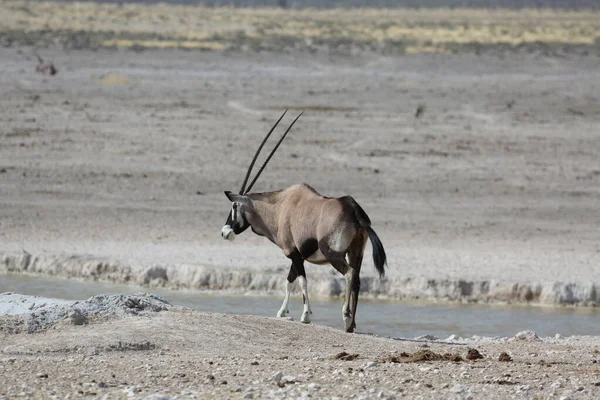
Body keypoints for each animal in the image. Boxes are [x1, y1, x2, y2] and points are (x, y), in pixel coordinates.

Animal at [223, 111, 386, 332]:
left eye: (234, 206)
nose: (224, 232)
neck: (280, 206)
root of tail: (353, 209)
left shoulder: (294, 254)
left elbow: (301, 281)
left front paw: (306, 316)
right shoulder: (296, 255)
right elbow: (289, 281)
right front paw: (282, 313)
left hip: (333, 253)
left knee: (349, 274)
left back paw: (345, 317)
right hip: (356, 252)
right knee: (357, 279)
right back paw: (351, 325)